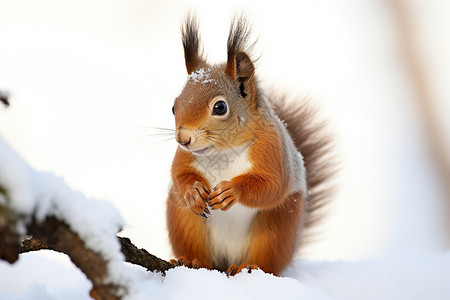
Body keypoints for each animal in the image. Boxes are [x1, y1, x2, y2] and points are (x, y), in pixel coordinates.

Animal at [167, 14, 332, 276]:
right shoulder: (185, 157)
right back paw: (191, 261)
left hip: (277, 226)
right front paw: (193, 191)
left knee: (267, 259)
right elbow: (179, 174)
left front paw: (231, 191)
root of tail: (226, 262)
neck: (222, 152)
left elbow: (272, 184)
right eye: (174, 107)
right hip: (185, 221)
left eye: (220, 107)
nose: (183, 139)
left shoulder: (271, 147)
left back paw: (249, 266)